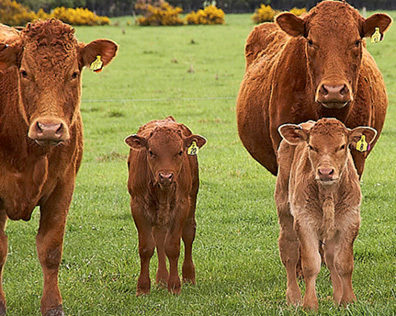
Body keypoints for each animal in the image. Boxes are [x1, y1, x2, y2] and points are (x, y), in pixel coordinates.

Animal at [0, 20, 117, 316]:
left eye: (74, 73)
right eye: (24, 72)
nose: (50, 128)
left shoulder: (63, 188)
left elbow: (51, 249)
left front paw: (53, 306)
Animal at [125, 116, 207, 296]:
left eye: (180, 152)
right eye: (151, 152)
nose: (166, 176)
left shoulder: (181, 205)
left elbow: (173, 247)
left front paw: (175, 286)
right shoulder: (137, 206)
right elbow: (147, 247)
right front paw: (143, 288)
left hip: (192, 195)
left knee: (188, 233)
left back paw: (188, 277)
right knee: (159, 237)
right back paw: (162, 279)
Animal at [274, 118, 376, 308]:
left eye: (342, 146)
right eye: (311, 146)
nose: (325, 172)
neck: (329, 195)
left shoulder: (350, 221)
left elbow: (343, 264)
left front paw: (347, 301)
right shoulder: (304, 223)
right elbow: (311, 264)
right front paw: (310, 304)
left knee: (330, 257)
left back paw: (336, 297)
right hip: (284, 209)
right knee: (289, 252)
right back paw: (294, 298)